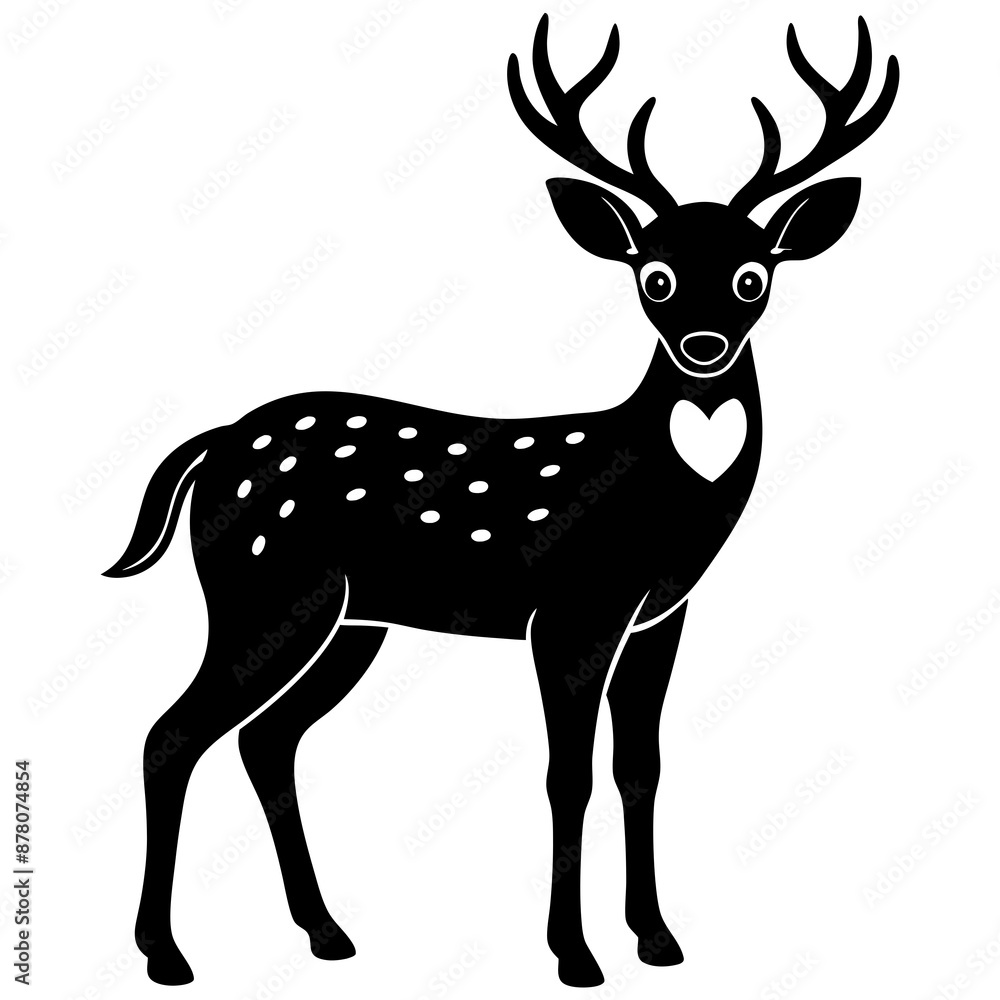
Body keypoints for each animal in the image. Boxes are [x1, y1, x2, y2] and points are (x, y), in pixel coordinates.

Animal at [104, 13, 898, 988]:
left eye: (754, 275)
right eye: (654, 275)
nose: (705, 346)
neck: (660, 494)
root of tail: (212, 445)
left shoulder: (661, 615)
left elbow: (641, 766)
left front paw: (658, 940)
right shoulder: (573, 610)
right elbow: (569, 775)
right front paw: (575, 956)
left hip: (348, 622)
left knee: (265, 740)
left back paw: (327, 933)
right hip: (263, 590)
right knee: (171, 734)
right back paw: (166, 954)